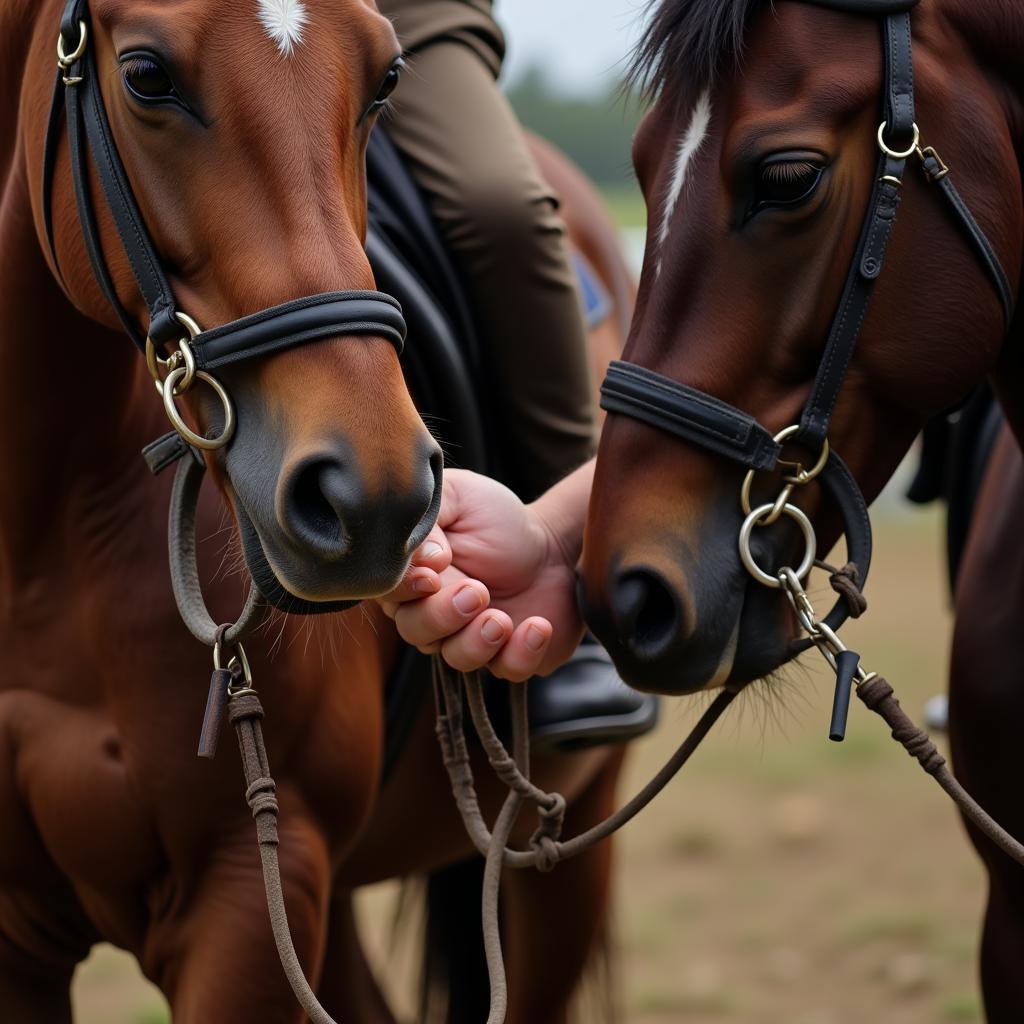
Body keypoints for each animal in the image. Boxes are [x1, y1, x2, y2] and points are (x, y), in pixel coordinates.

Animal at [0, 4, 626, 1019]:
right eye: (145, 76)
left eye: (386, 78)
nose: (372, 500)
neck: (38, 541)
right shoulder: (19, 929)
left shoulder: (251, 895)